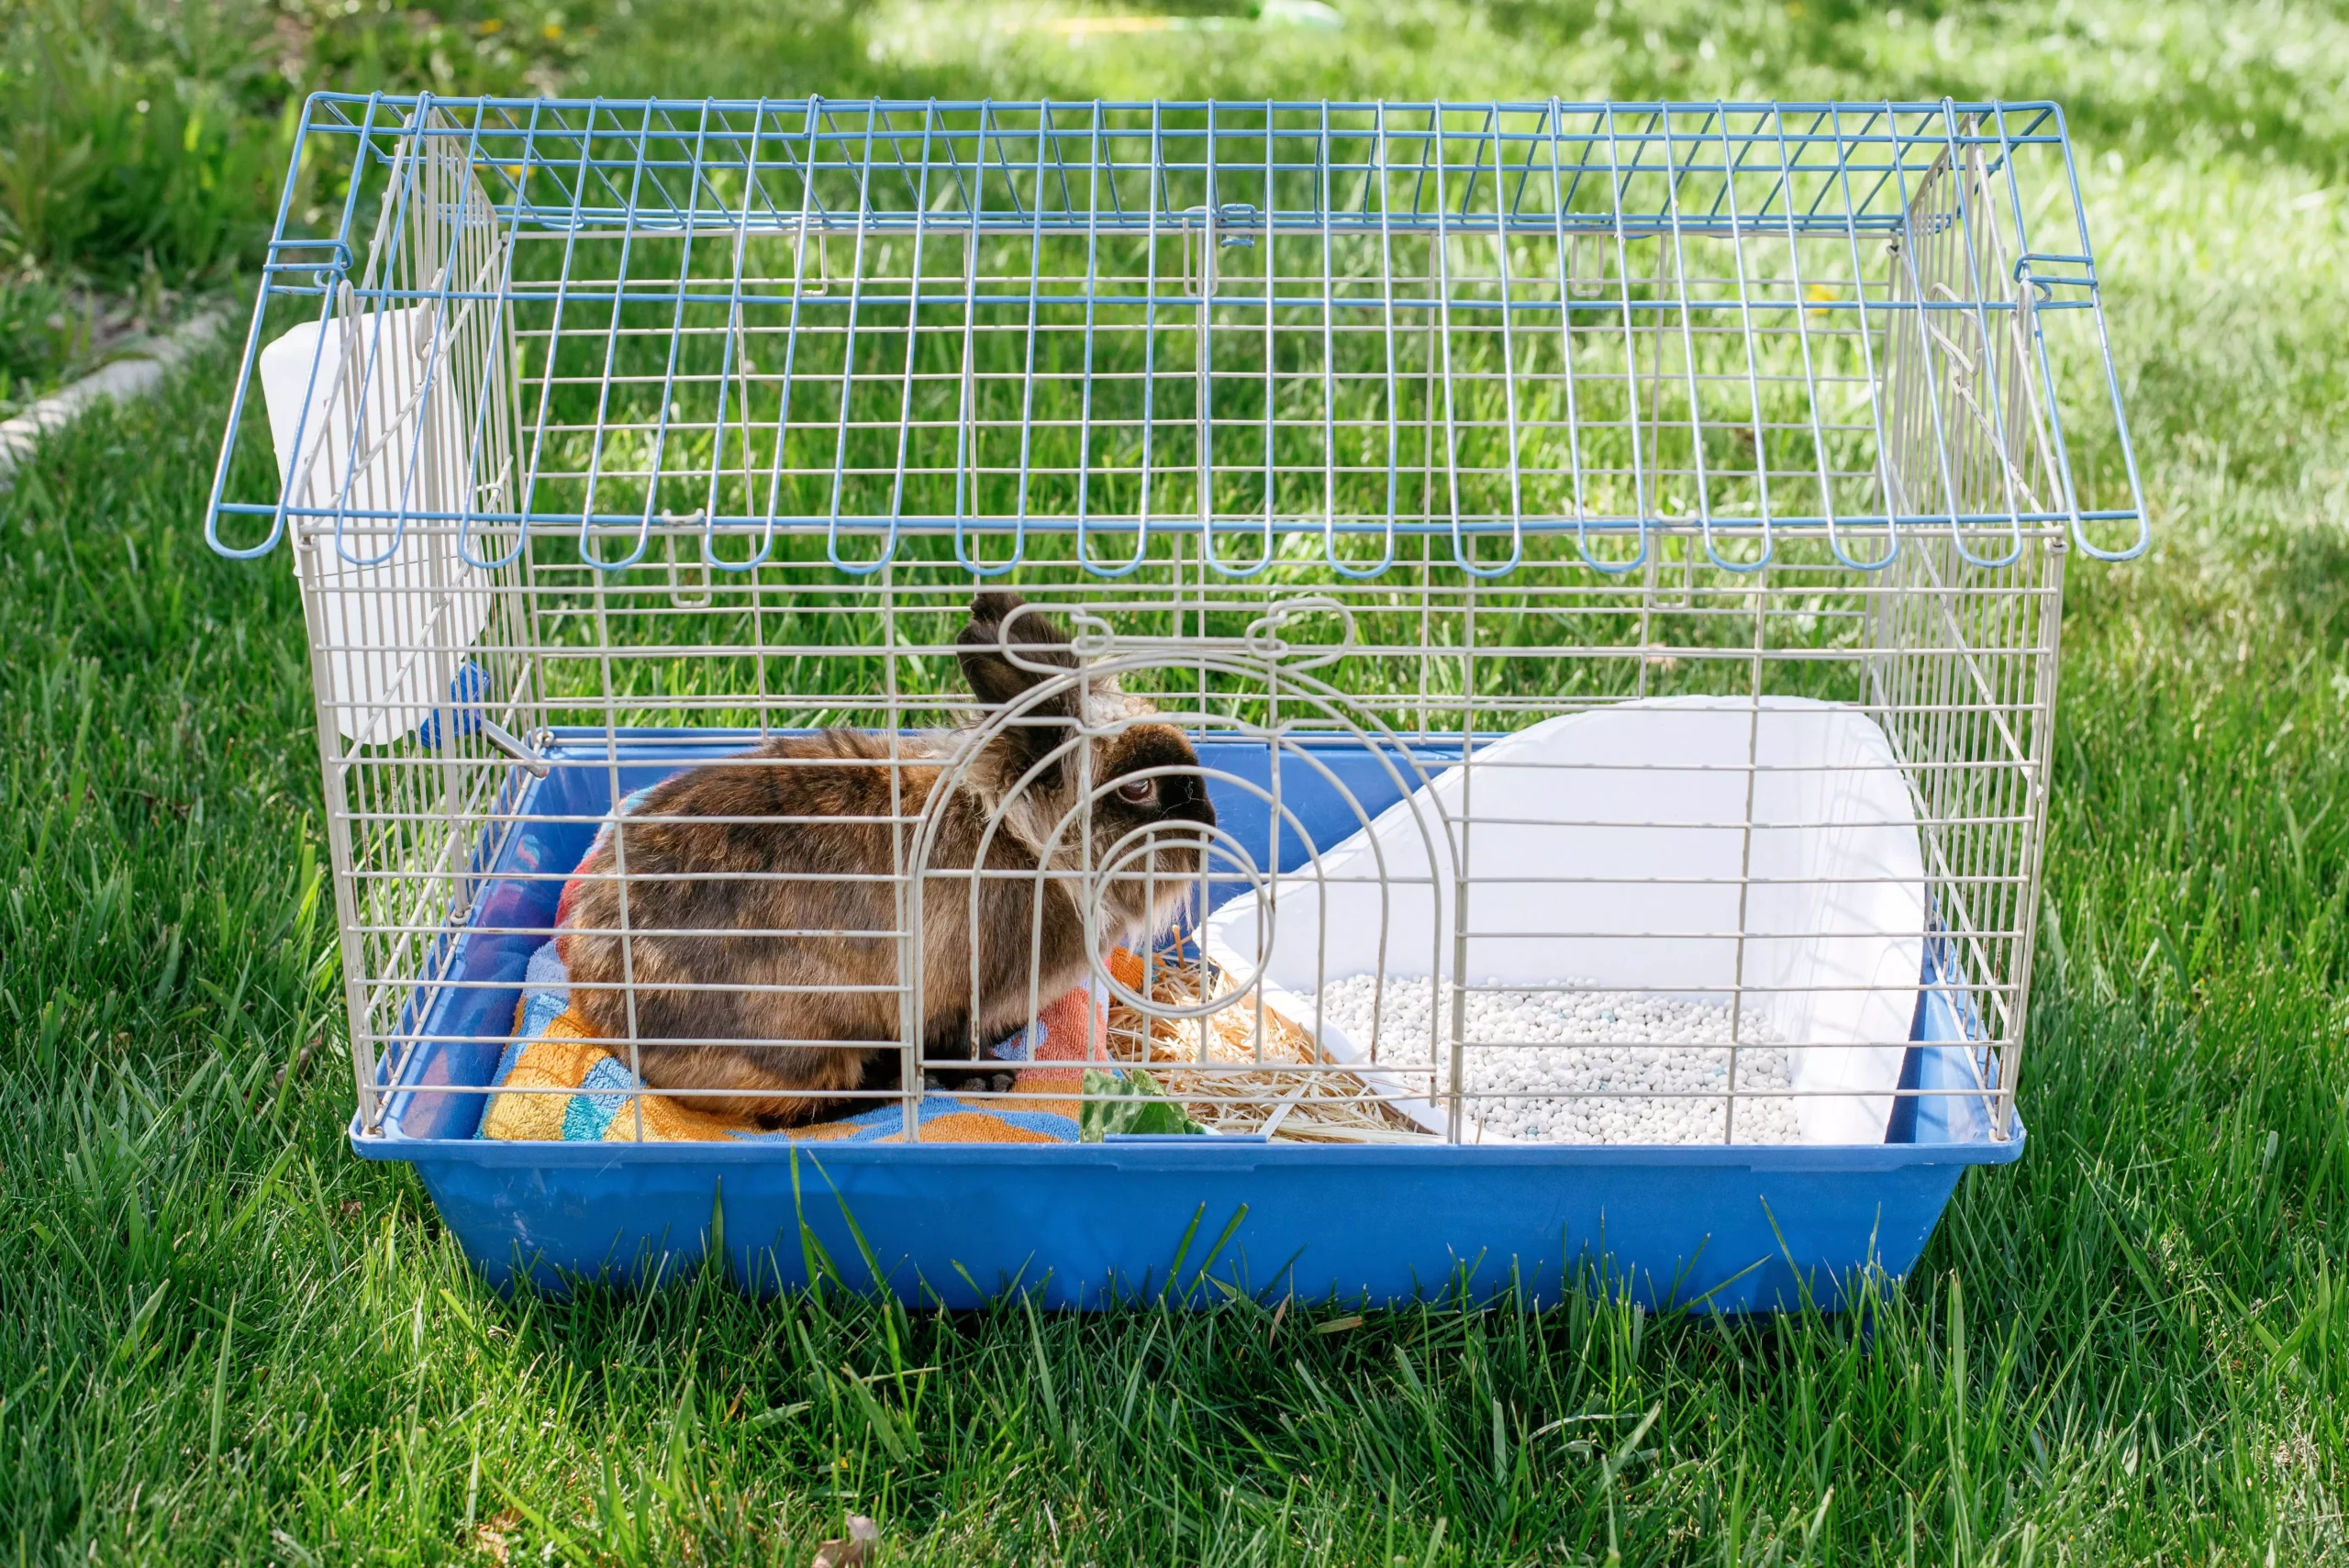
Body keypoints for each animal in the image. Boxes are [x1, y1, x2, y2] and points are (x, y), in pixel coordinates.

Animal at [550, 591, 1211, 1127]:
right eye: (1137, 789)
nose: (1207, 828)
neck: (1027, 841)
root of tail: (596, 1003)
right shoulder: (947, 998)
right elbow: (949, 1042)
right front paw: (991, 1076)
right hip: (802, 1038)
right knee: (795, 1110)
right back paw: (900, 1086)